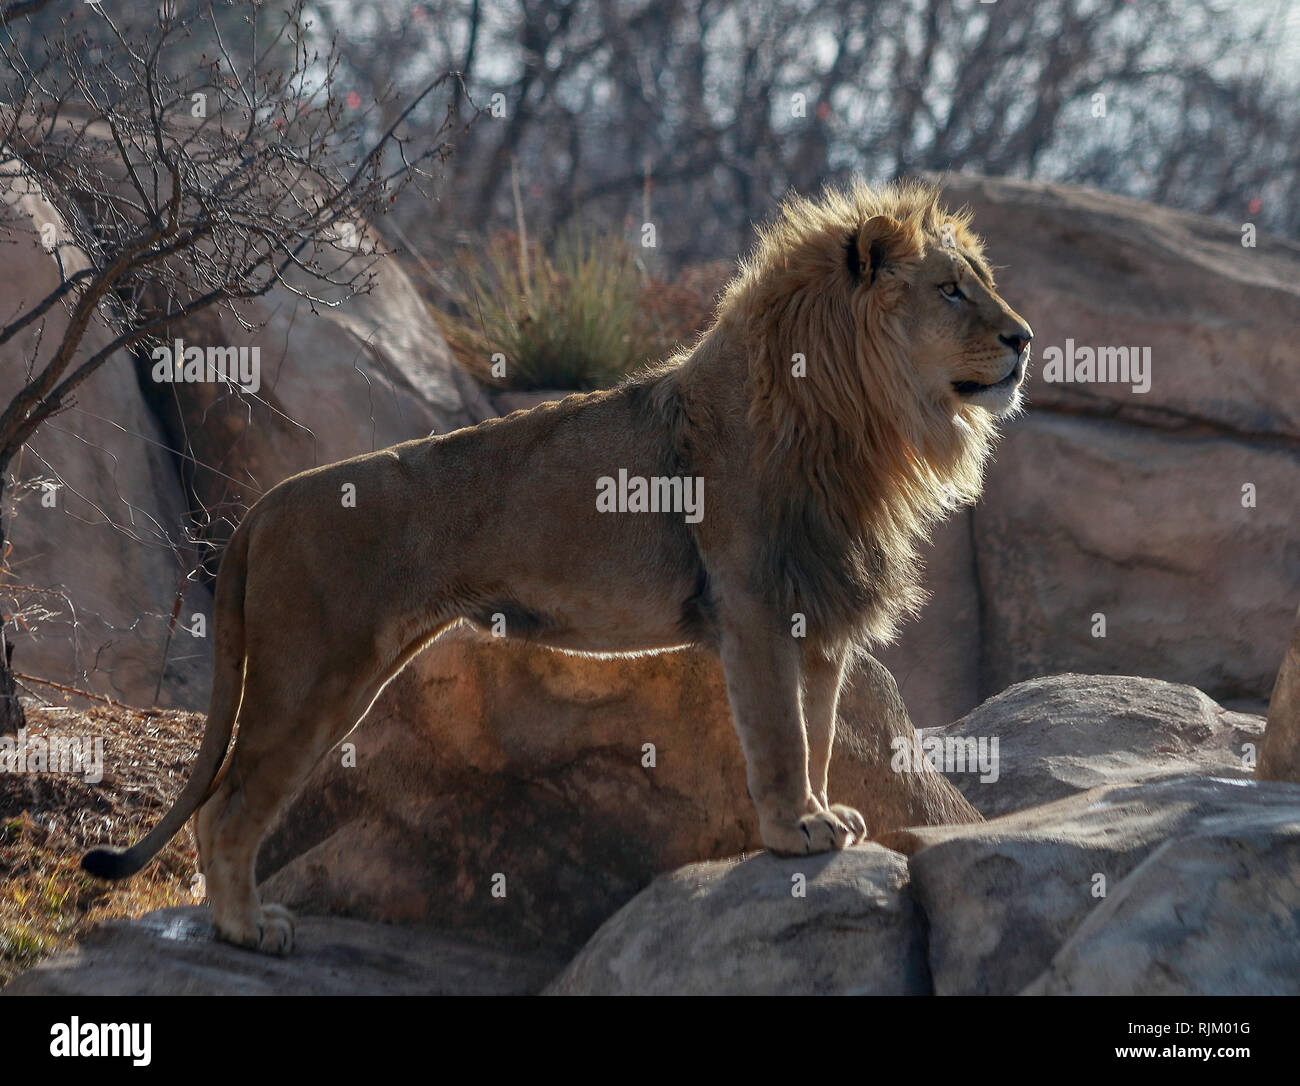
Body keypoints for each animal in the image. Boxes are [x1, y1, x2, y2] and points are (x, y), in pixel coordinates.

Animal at [83, 179, 1032, 955]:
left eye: (980, 280)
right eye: (951, 289)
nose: (1024, 339)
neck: (861, 426)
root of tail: (268, 505)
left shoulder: (820, 616)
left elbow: (824, 730)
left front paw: (826, 814)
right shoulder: (755, 608)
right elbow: (780, 737)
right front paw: (794, 828)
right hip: (312, 672)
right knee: (229, 804)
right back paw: (246, 930)